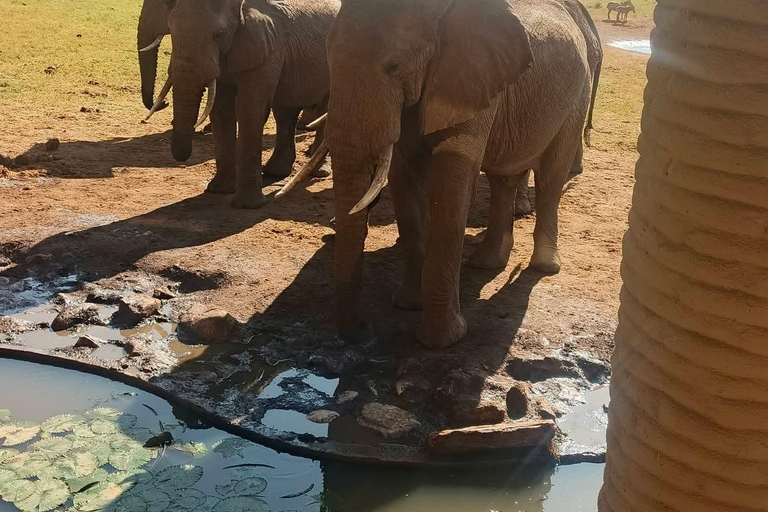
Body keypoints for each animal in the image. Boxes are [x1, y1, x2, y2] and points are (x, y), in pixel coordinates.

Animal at [144, 0, 339, 208]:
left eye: (218, 35)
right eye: (170, 30)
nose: (163, 103)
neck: (239, 7)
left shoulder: (267, 51)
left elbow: (249, 109)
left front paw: (247, 205)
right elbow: (221, 111)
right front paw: (218, 190)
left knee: (325, 109)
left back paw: (318, 171)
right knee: (284, 112)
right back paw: (275, 171)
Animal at [320, 0, 602, 347]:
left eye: (394, 66)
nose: (362, 329)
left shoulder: (469, 80)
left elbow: (450, 188)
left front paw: (442, 340)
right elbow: (405, 184)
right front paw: (408, 304)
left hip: (576, 94)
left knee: (551, 175)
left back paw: (543, 266)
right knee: (503, 176)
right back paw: (486, 263)